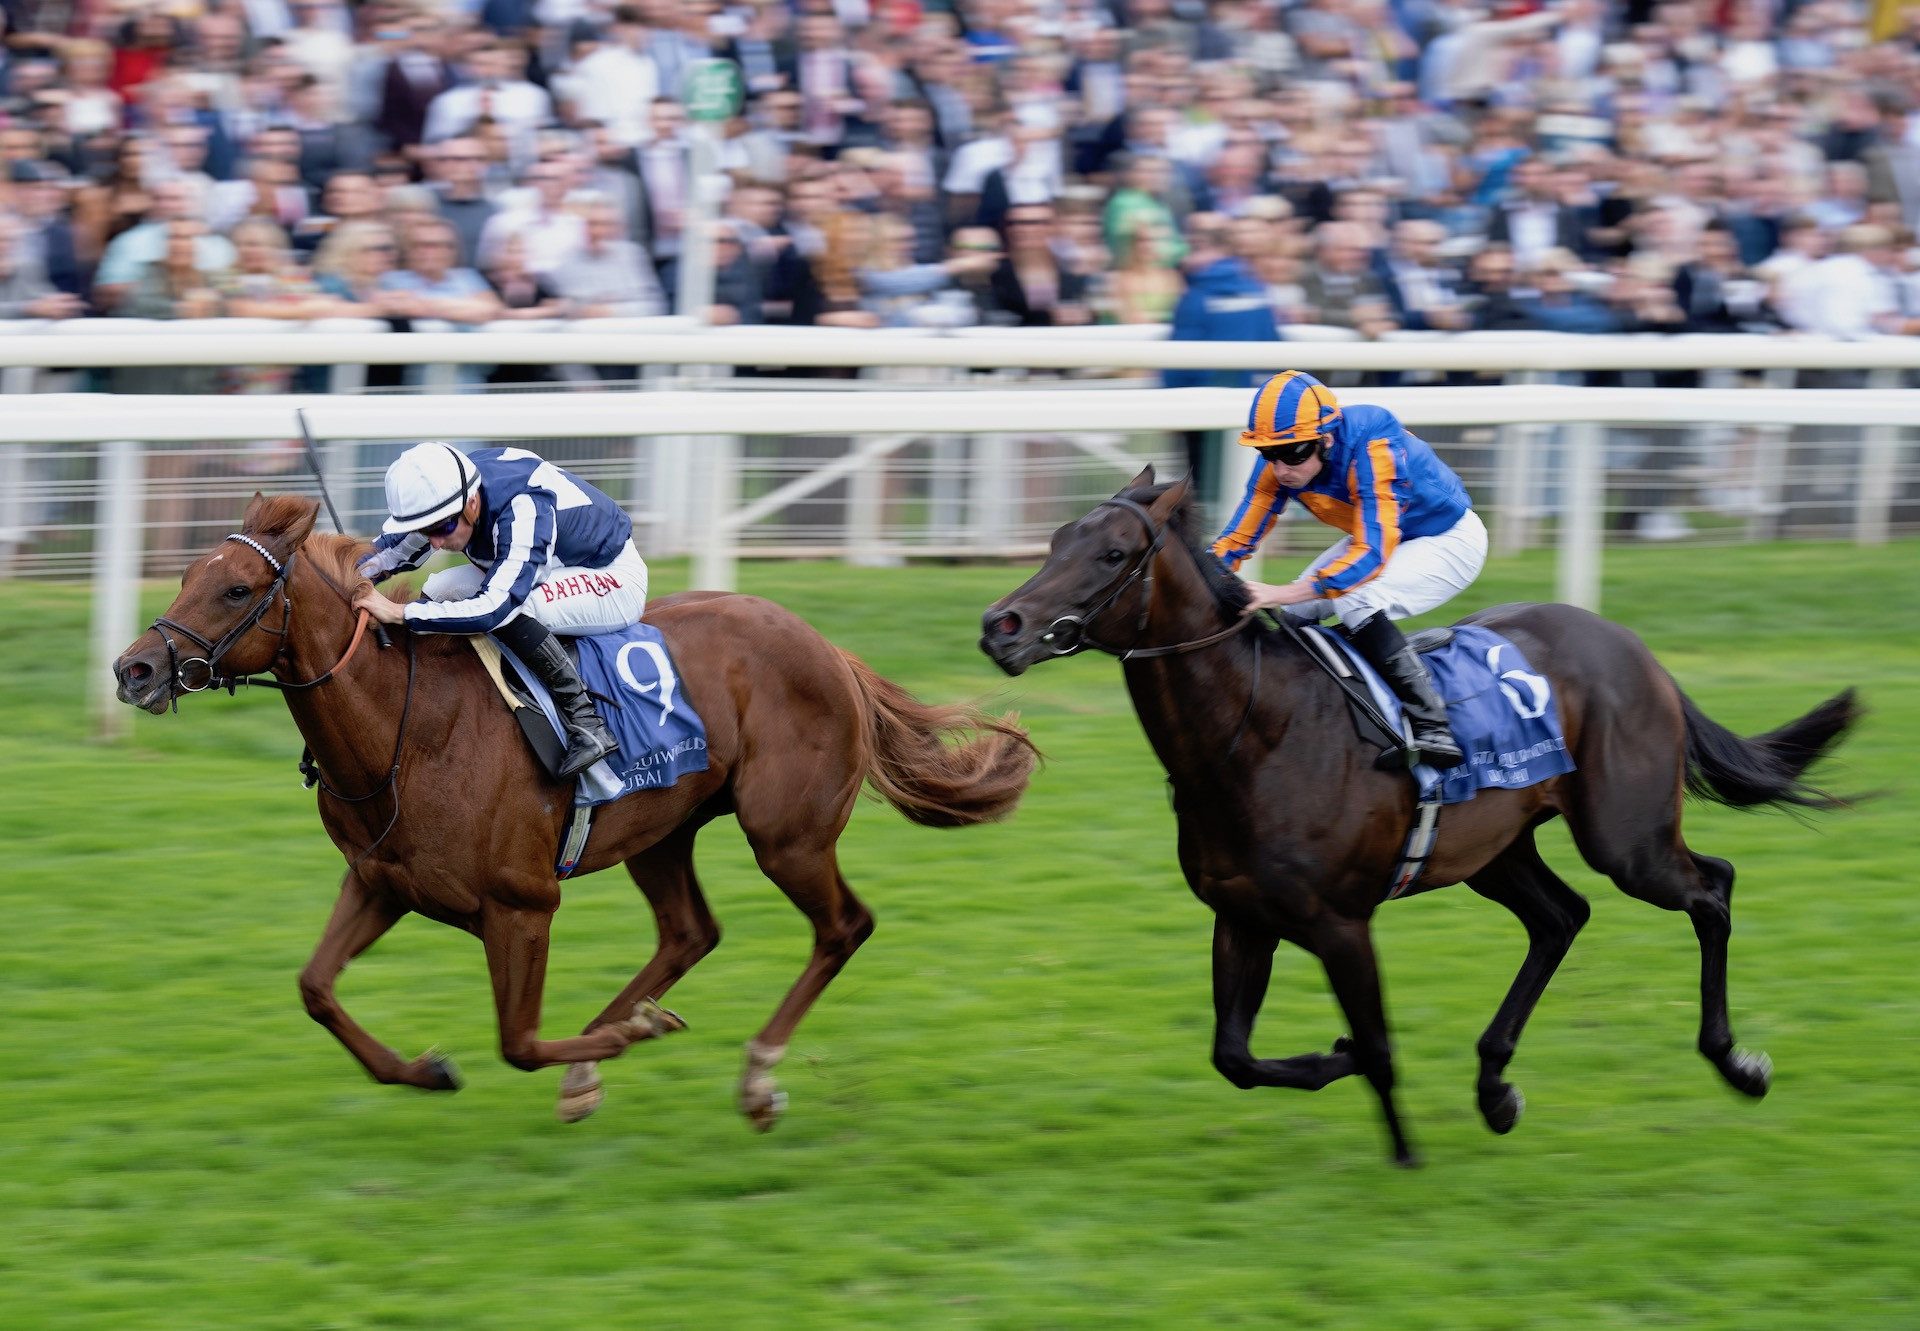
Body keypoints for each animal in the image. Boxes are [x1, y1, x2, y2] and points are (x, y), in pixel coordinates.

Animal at [112, 491, 1036, 1129]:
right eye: (187, 577)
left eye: (236, 590)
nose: (134, 670)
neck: (406, 729)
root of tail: (827, 648)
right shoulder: (380, 882)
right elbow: (314, 988)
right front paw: (428, 1069)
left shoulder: (521, 903)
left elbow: (517, 1042)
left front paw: (624, 1041)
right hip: (662, 829)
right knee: (690, 931)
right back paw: (620, 1051)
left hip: (789, 835)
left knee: (843, 926)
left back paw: (754, 1077)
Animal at [983, 466, 1850, 1160]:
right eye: (1055, 539)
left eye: (1111, 554)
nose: (1001, 625)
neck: (1255, 734)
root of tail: (1633, 647)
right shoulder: (1242, 915)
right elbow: (1235, 1055)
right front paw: (1335, 1062)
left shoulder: (1340, 923)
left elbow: (1376, 1044)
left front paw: (1402, 1151)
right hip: (1496, 848)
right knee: (1561, 916)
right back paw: (1495, 1086)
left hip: (1626, 837)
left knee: (1712, 886)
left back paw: (1735, 1062)